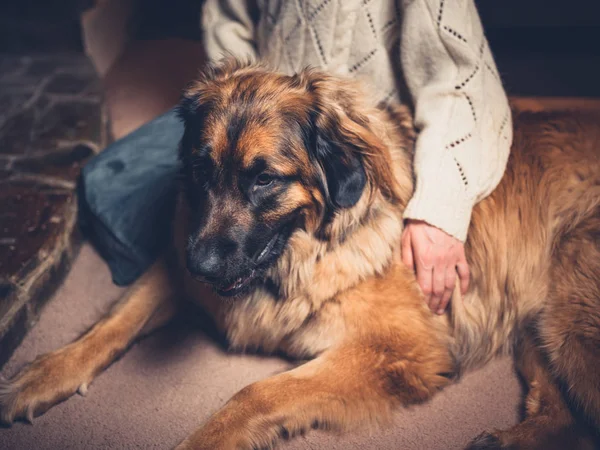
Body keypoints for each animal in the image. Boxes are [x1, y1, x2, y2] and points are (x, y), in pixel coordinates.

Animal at [1, 60, 600, 450]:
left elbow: (255, 393)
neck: (299, 256)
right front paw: (43, 375)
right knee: (563, 416)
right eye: (201, 169)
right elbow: (114, 322)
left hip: (570, 315)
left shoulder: (394, 350)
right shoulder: (175, 264)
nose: (202, 266)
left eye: (264, 179)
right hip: (542, 329)